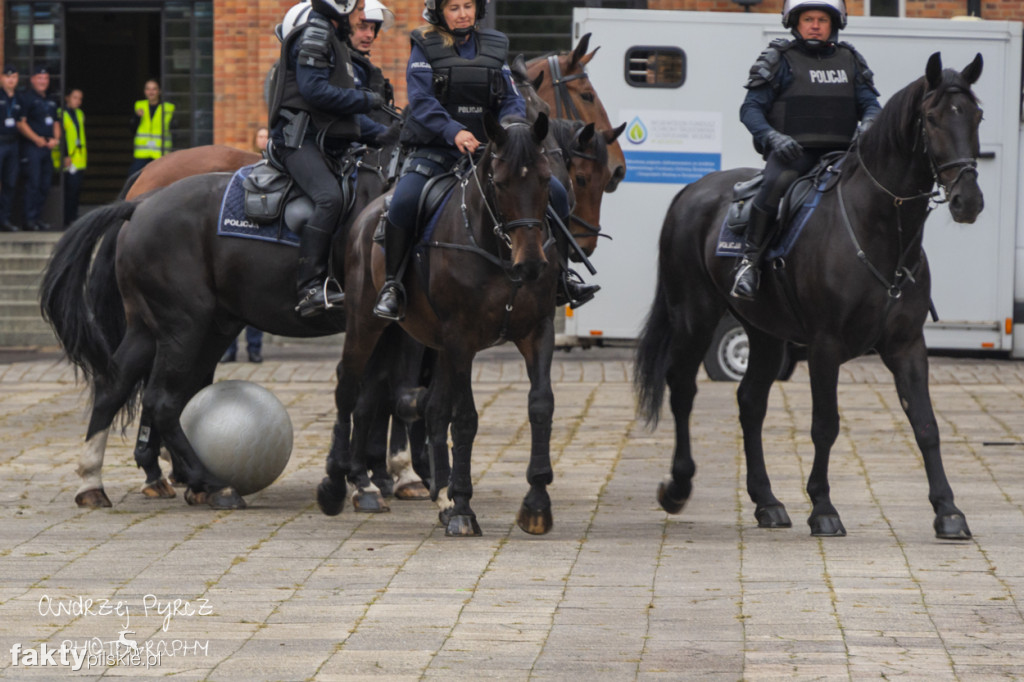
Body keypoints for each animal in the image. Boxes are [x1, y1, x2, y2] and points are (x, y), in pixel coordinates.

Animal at [319, 114, 561, 532]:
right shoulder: (461, 339)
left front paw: (536, 502)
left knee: (427, 406)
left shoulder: (537, 331)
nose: (530, 264)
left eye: (546, 179)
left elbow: (540, 405)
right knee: (348, 388)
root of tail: (368, 212)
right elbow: (464, 417)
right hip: (367, 324)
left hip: (434, 344)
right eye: (500, 182)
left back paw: (436, 493)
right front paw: (464, 508)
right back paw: (340, 485)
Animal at [630, 51, 983, 536]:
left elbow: (926, 424)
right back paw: (678, 488)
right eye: (931, 119)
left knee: (750, 402)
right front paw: (823, 508)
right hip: (695, 316)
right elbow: (825, 425)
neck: (879, 229)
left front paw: (948, 511)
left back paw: (767, 502)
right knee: (682, 388)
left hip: (764, 334)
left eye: (976, 115)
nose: (969, 200)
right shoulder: (824, 345)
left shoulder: (907, 345)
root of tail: (690, 191)